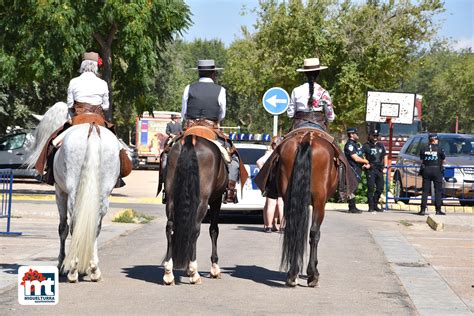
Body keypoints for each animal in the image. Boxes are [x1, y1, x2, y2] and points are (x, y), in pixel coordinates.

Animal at [163, 135, 228, 286]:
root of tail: (190, 139)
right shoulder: (216, 200)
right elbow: (214, 230)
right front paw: (214, 269)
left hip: (171, 198)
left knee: (170, 228)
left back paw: (168, 273)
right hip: (202, 202)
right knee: (194, 229)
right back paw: (194, 272)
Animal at [276, 130, 338, 288]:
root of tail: (306, 137)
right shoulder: (320, 203)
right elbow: (316, 233)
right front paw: (313, 272)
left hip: (289, 198)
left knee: (294, 229)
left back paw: (292, 274)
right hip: (319, 202)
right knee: (314, 233)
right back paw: (312, 275)